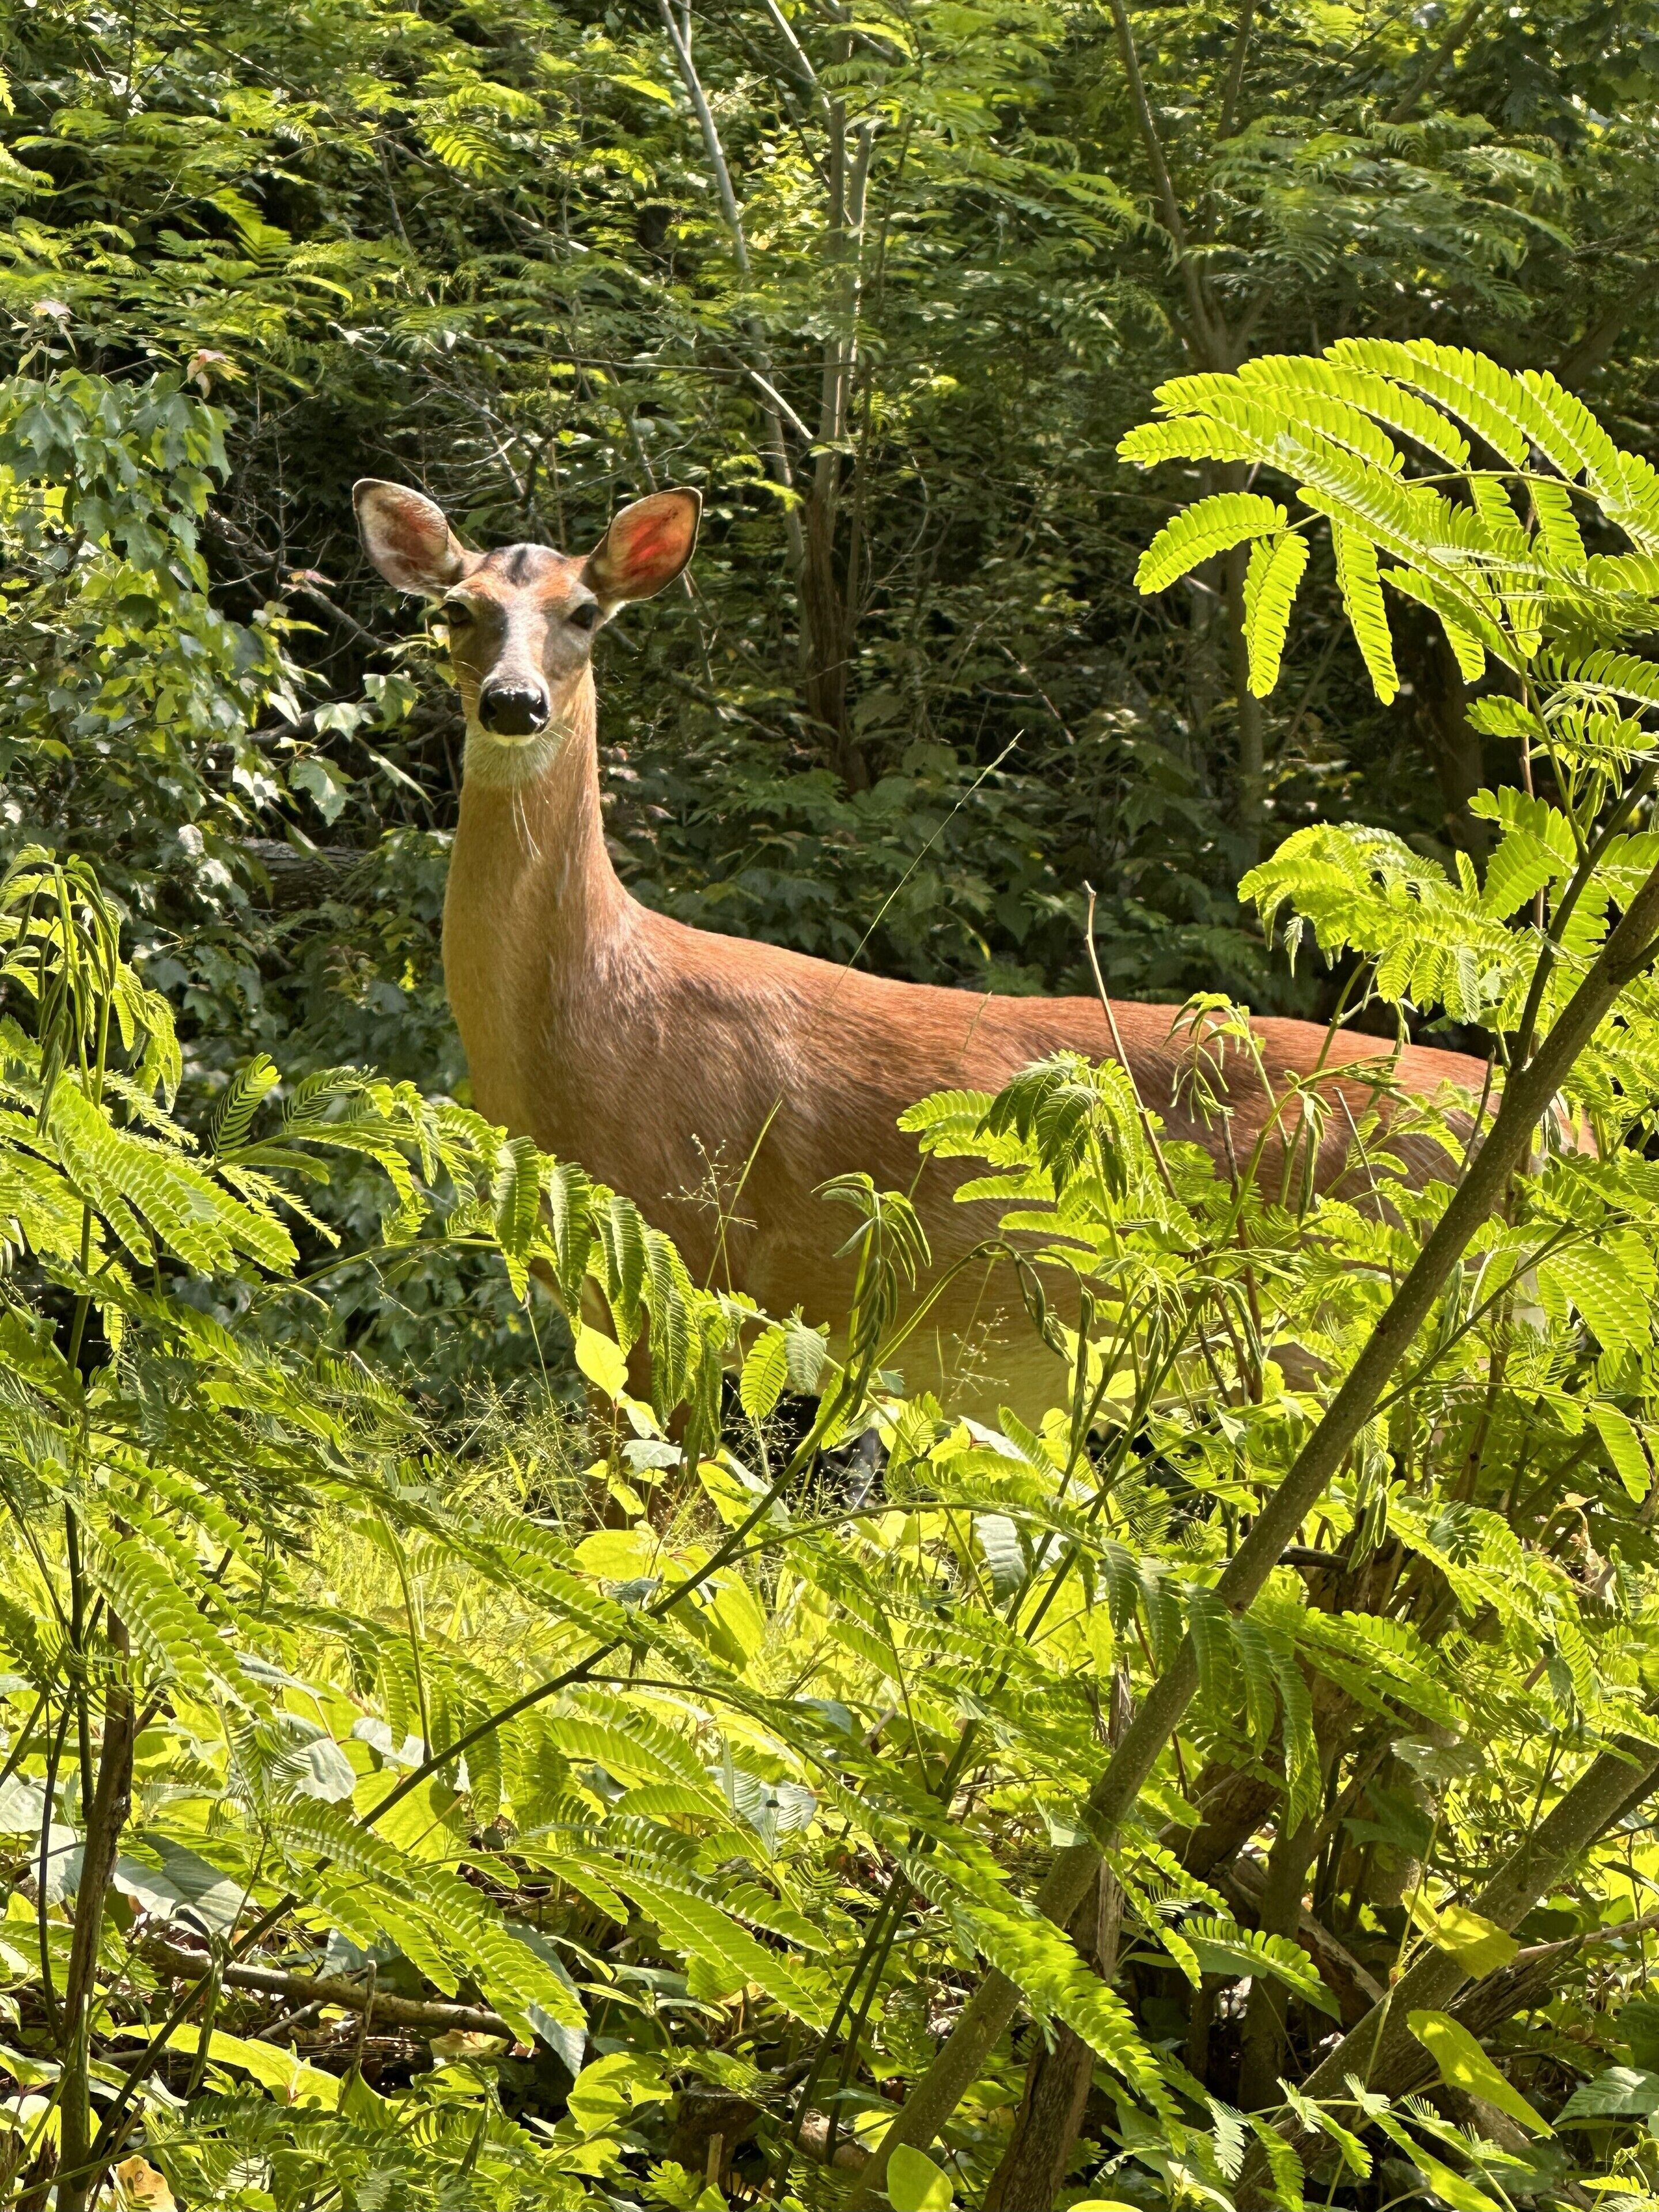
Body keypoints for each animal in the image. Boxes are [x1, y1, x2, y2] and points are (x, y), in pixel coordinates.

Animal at [353, 478, 1485, 1411]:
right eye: (456, 609)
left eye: (585, 613)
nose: (513, 701)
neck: (586, 1019)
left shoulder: (696, 1256)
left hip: (1343, 1315)